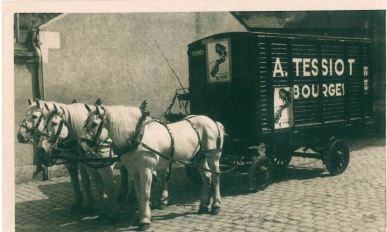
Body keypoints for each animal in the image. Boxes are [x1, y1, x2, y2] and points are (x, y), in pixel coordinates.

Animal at [83, 102, 226, 231]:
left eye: (94, 124)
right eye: (84, 122)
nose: (82, 145)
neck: (138, 137)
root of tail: (213, 122)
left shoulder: (146, 170)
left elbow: (146, 194)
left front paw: (144, 221)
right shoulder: (134, 171)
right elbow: (139, 194)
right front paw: (139, 217)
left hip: (213, 156)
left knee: (216, 178)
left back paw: (215, 206)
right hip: (199, 158)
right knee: (206, 177)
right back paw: (203, 206)